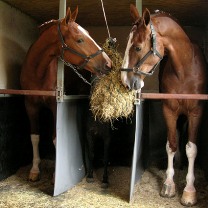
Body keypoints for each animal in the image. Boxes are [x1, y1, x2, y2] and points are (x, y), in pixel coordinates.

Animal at [20, 6, 111, 182]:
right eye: (79, 40)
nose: (108, 63)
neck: (37, 71)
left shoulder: (56, 106)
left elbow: (56, 139)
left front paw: (56, 174)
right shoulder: (30, 105)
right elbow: (34, 137)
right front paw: (34, 170)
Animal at [121, 4, 207, 207]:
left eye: (137, 47)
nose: (125, 81)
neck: (185, 69)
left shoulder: (196, 113)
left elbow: (191, 148)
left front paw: (189, 191)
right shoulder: (169, 111)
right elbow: (171, 145)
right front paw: (169, 184)